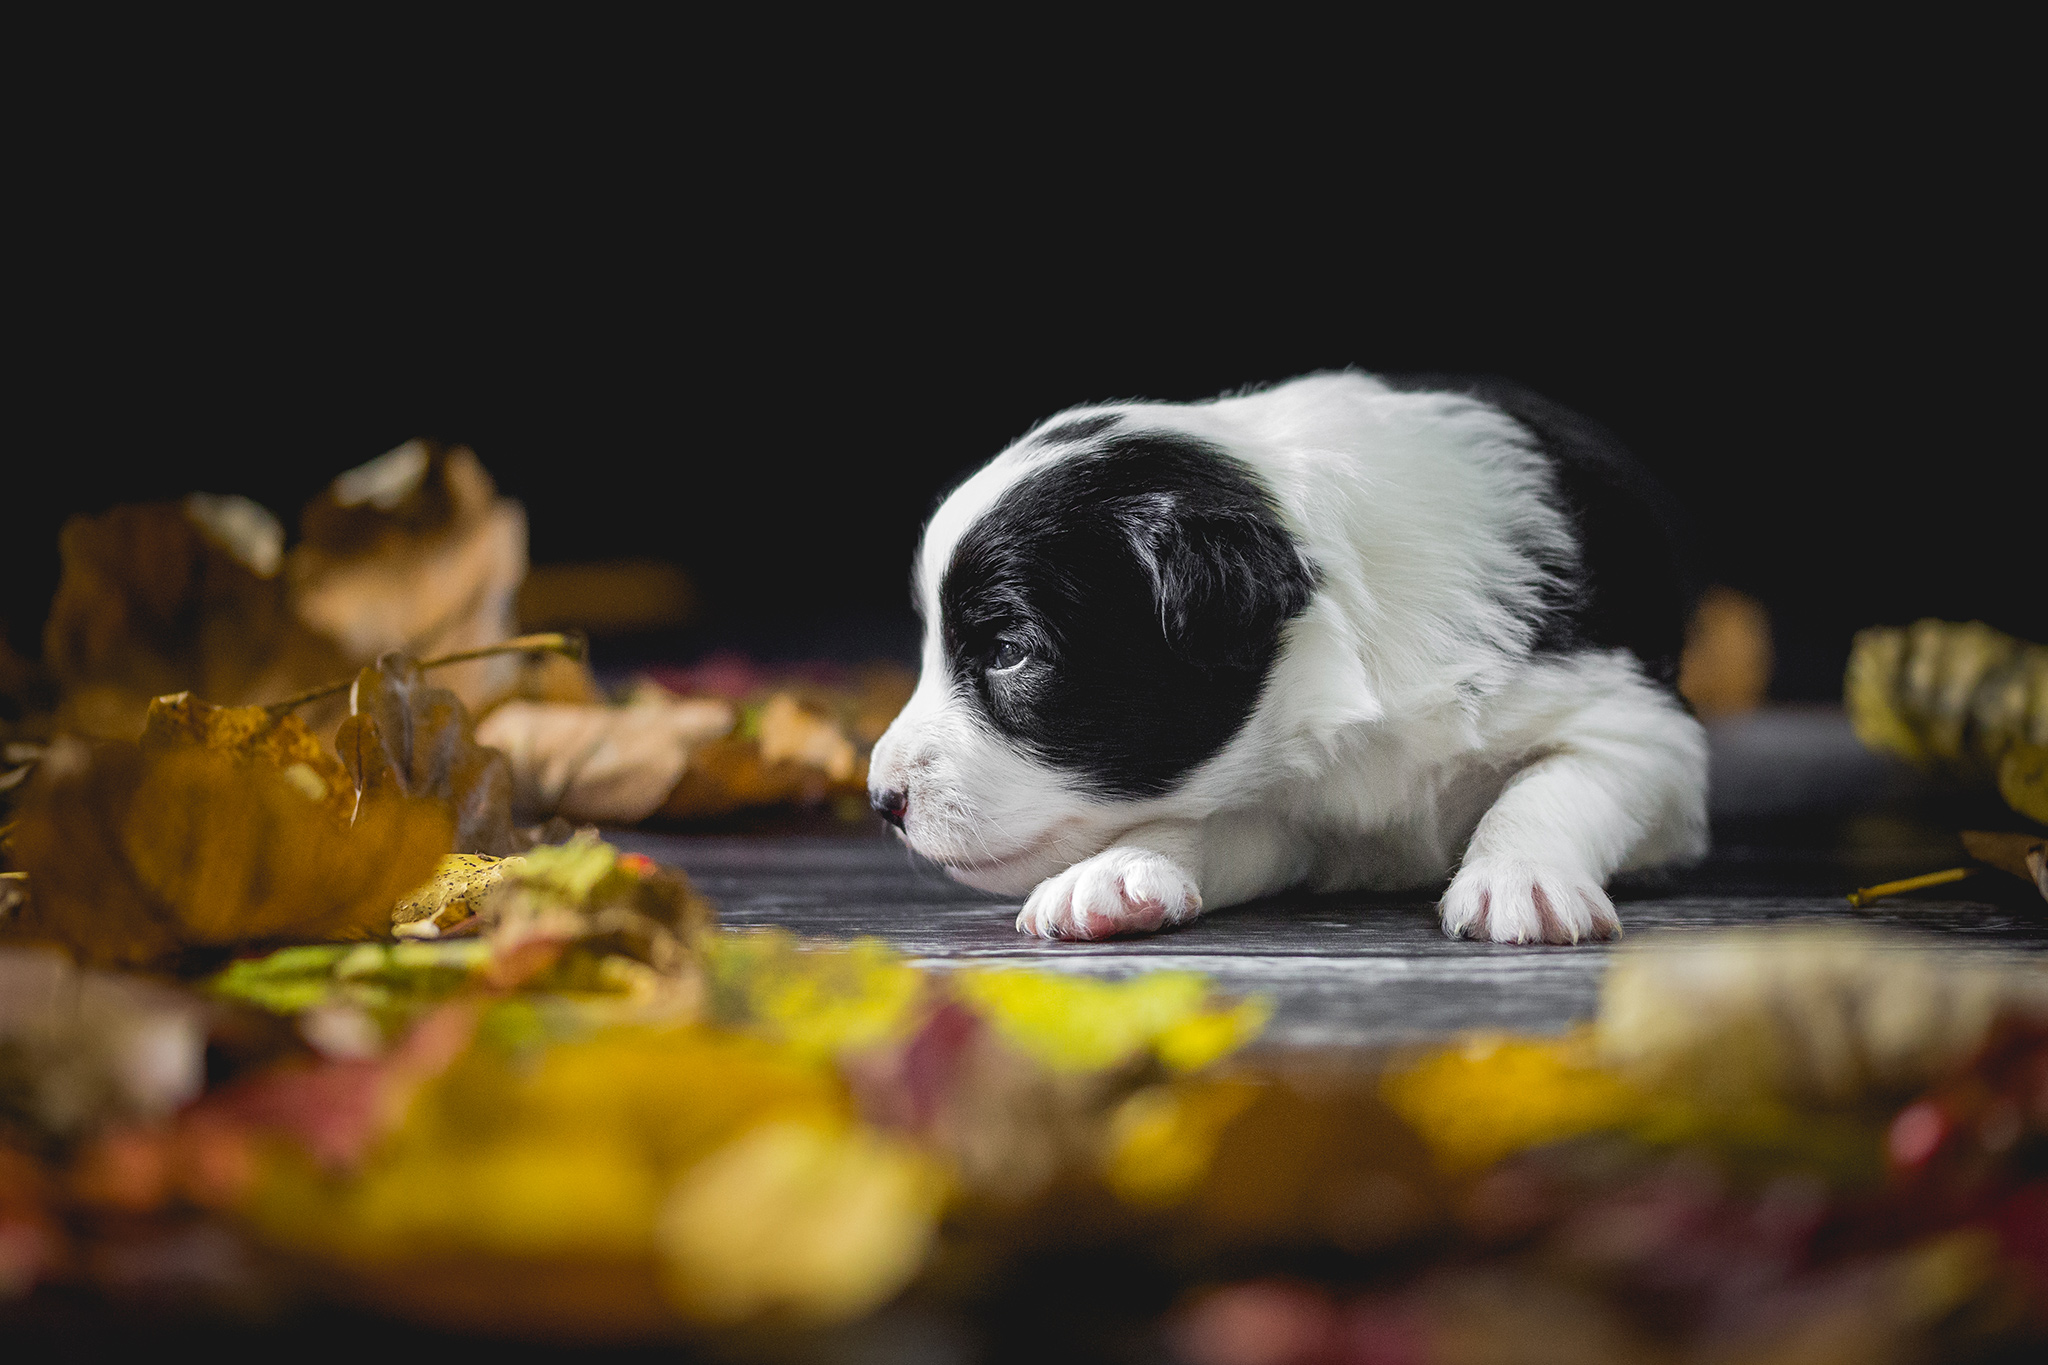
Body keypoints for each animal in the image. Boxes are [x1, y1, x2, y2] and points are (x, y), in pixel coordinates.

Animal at [868, 368, 1712, 945]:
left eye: (1008, 651)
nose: (880, 799)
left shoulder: (1642, 727)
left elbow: (1555, 783)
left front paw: (1520, 878)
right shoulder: (1283, 802)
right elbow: (1207, 824)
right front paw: (1114, 871)